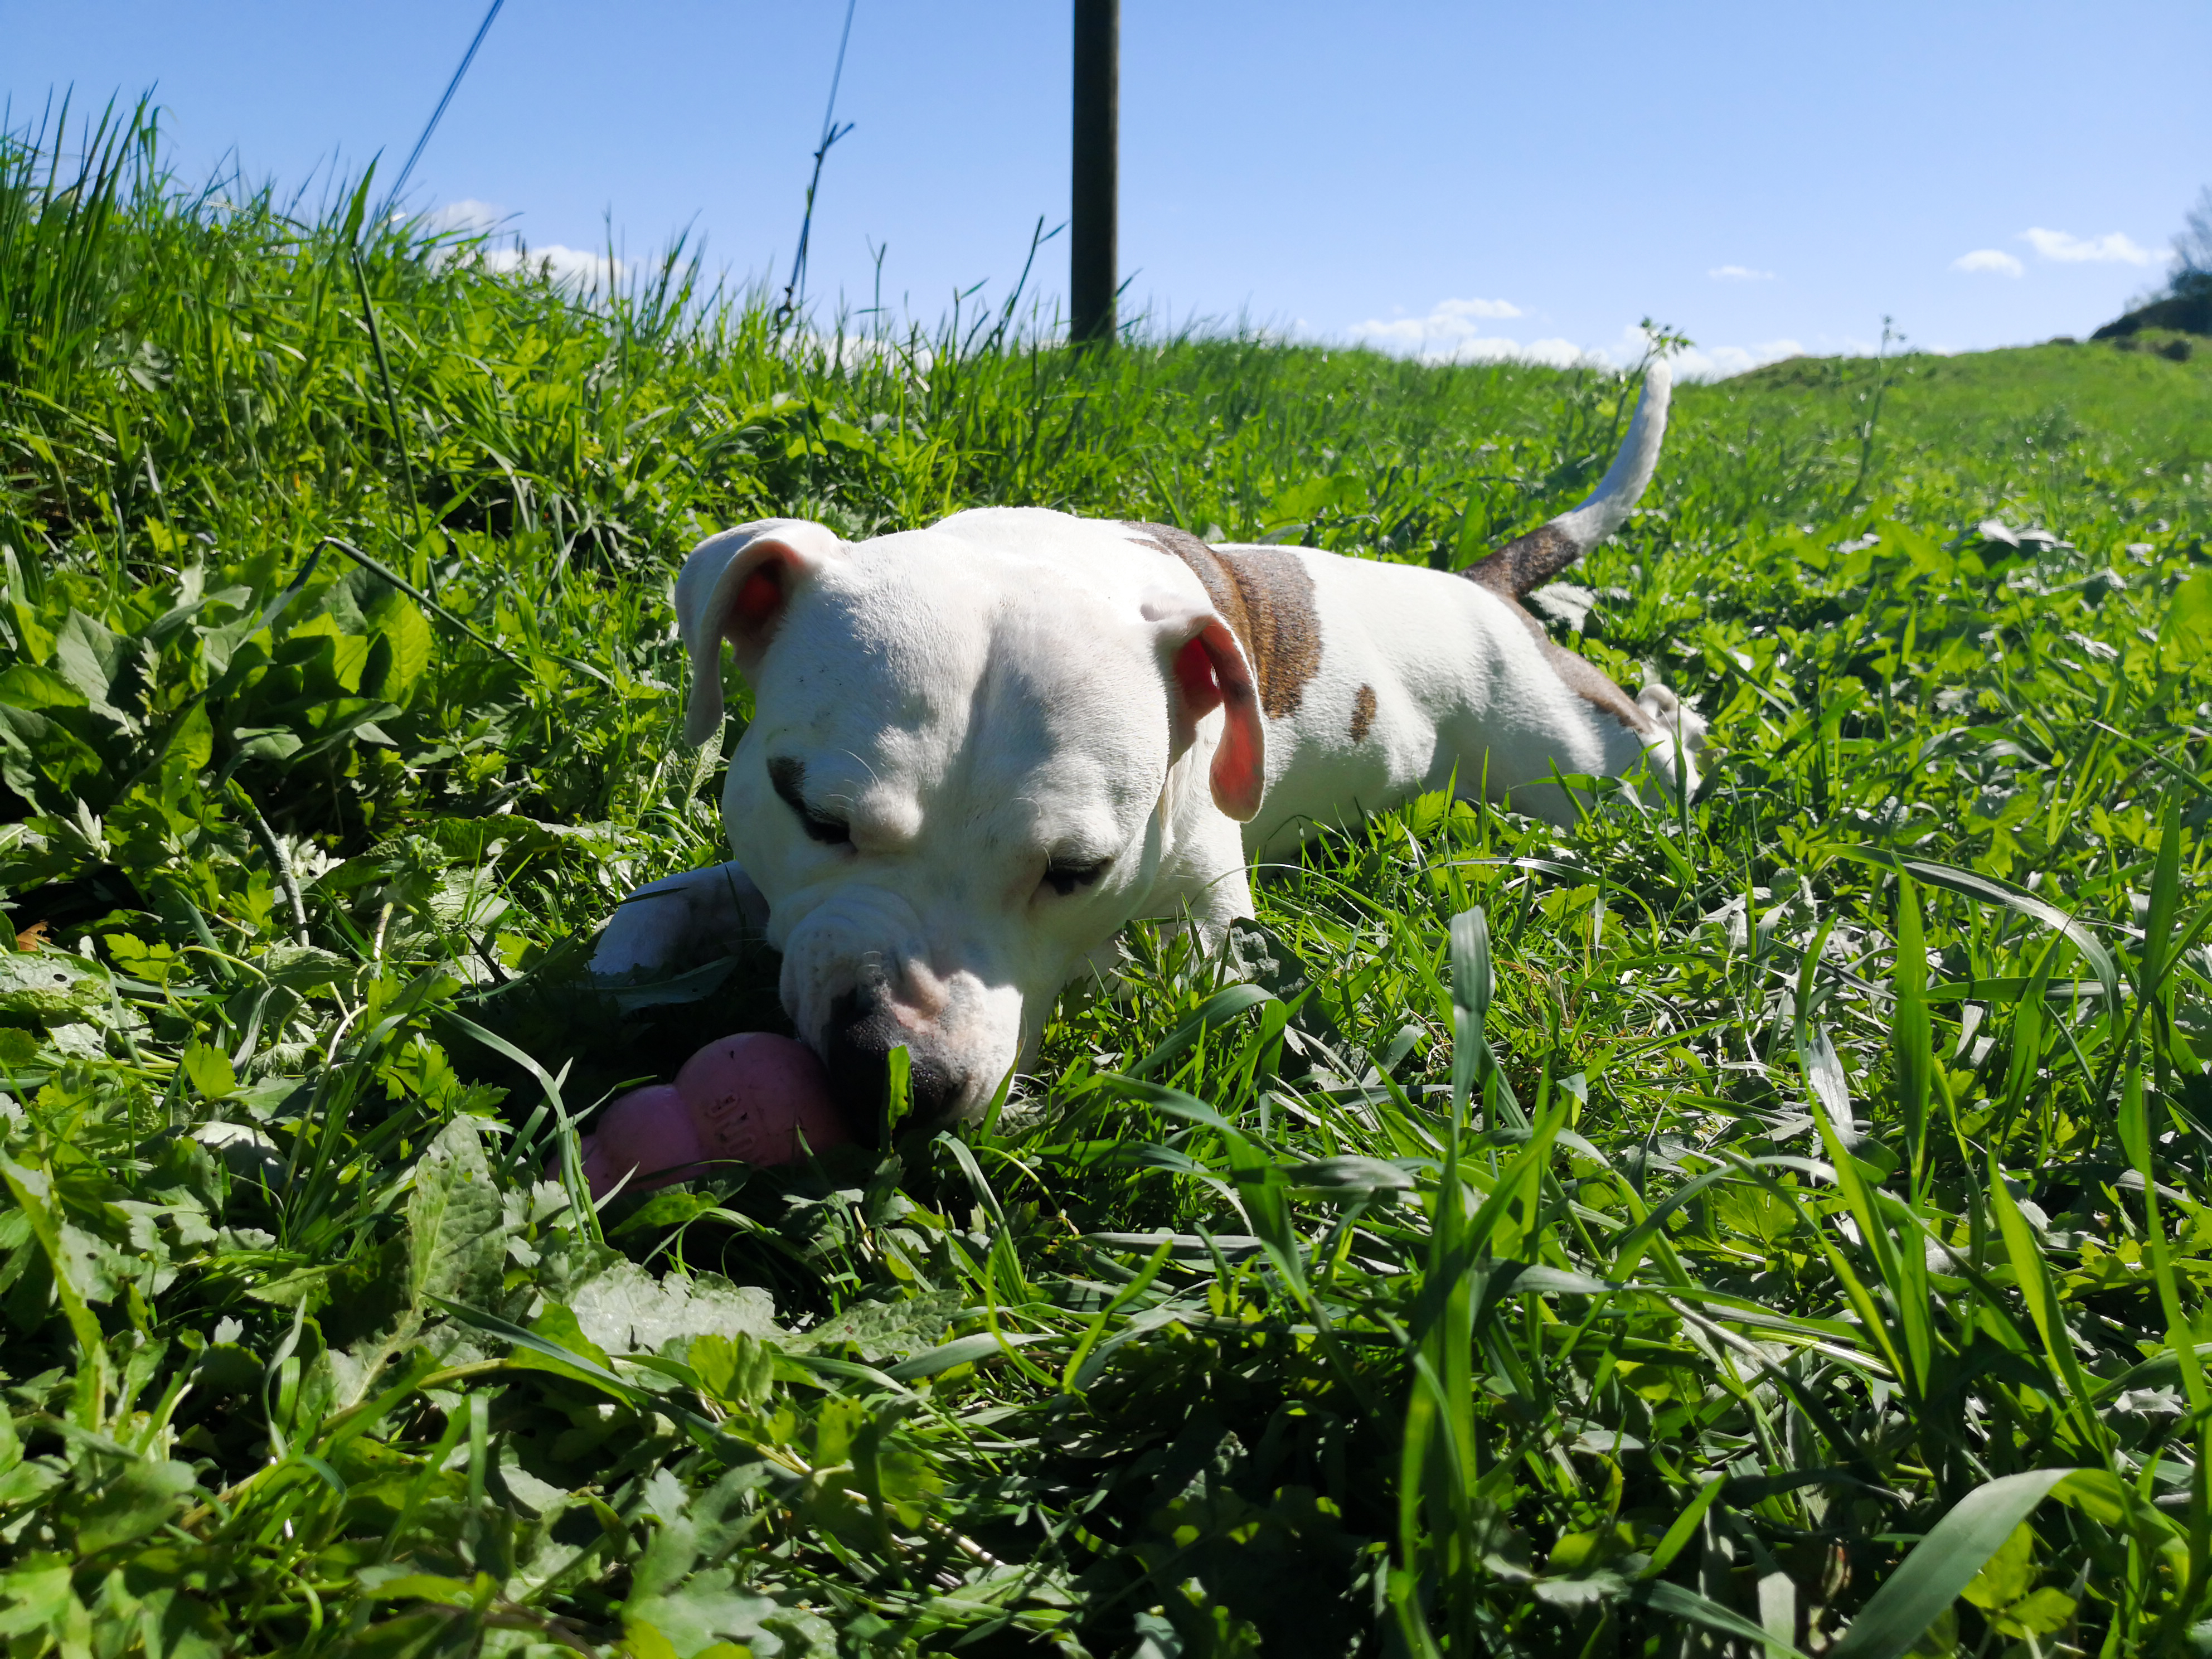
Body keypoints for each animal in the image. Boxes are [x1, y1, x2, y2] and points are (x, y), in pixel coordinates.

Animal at [588, 367, 1690, 1132]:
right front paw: (615, 972)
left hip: (1579, 764)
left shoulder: (1206, 931)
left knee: (1660, 748)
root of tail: (1477, 589)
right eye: (817, 817)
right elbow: (666, 900)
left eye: (1078, 870)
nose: (902, 1073)